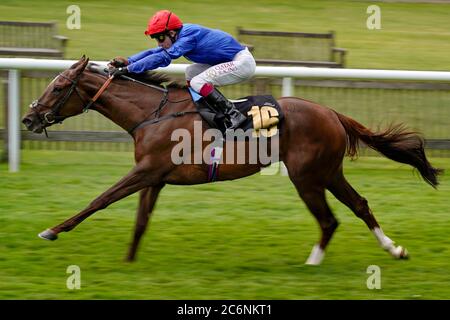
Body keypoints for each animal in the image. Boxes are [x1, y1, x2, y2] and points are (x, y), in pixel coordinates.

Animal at [22, 57, 442, 264]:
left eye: (58, 87)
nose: (28, 118)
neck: (152, 113)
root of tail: (333, 113)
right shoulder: (154, 177)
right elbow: (140, 222)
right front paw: (128, 263)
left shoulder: (145, 170)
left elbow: (100, 200)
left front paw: (52, 230)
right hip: (329, 172)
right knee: (360, 205)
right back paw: (394, 249)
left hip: (307, 177)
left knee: (329, 220)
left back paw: (312, 265)